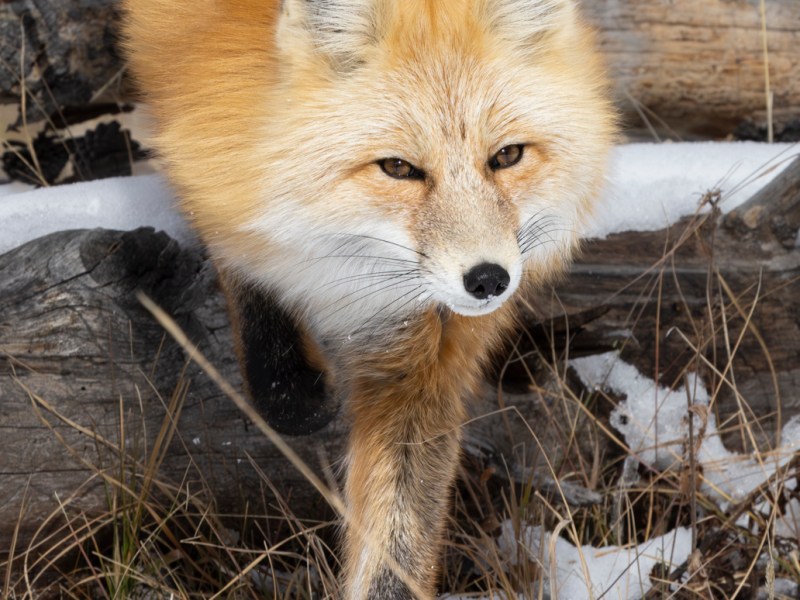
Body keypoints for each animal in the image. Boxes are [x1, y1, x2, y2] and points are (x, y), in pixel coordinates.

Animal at [122, 0, 614, 597]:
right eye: (398, 168)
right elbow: (228, 221)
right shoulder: (184, 79)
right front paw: (287, 385)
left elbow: (399, 531)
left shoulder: (419, 352)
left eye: (507, 156)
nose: (489, 280)